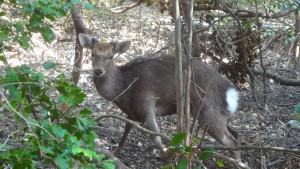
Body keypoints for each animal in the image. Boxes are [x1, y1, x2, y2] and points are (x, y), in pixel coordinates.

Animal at [78, 33, 241, 161]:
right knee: (235, 134)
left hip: (207, 112)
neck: (125, 90)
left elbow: (155, 136)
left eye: (111, 56)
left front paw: (168, 153)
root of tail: (231, 92)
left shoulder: (147, 102)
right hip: (214, 114)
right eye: (92, 53)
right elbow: (126, 131)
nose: (98, 71)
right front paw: (114, 152)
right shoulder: (132, 112)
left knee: (232, 142)